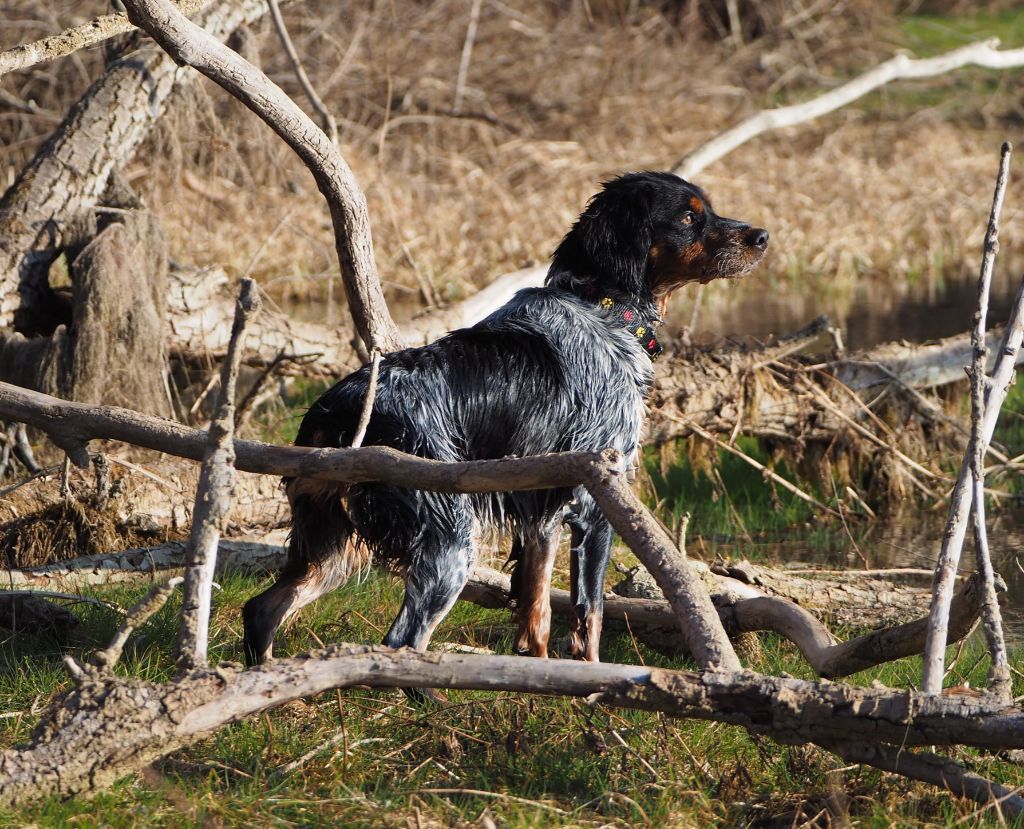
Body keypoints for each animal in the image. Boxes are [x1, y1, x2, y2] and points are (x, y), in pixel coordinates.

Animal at [241, 170, 770, 667]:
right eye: (688, 217)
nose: (761, 236)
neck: (602, 309)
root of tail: (334, 412)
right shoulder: (596, 498)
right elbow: (591, 618)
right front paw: (595, 684)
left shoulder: (541, 506)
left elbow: (537, 608)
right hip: (448, 539)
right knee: (401, 639)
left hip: (336, 542)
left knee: (262, 608)